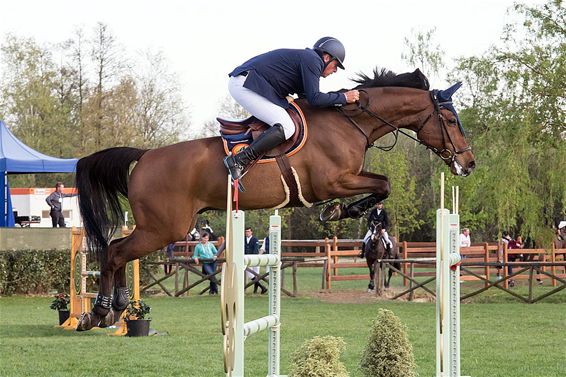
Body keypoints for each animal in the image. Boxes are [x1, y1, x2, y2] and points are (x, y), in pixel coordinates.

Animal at [74, 67, 474, 328]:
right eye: (452, 121)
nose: (468, 163)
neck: (349, 122)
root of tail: (144, 155)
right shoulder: (334, 181)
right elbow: (384, 185)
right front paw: (339, 211)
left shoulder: (346, 179)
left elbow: (383, 185)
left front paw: (341, 212)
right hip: (164, 228)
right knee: (116, 252)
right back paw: (99, 312)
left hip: (158, 228)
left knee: (117, 250)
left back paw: (116, 308)